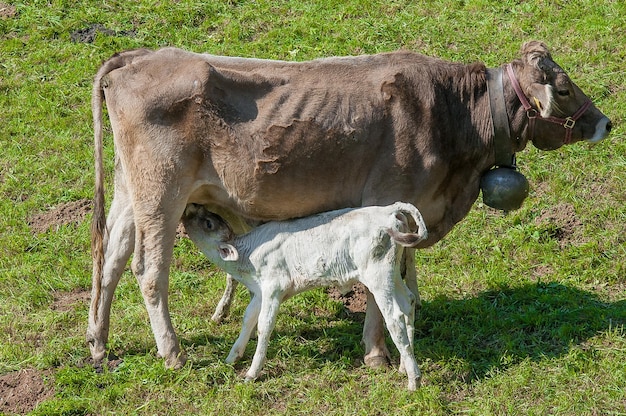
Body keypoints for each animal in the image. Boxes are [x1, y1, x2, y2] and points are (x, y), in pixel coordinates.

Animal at [88, 39, 608, 370]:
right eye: (564, 89)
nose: (605, 123)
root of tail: (143, 56)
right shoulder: (387, 200)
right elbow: (381, 287)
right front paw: (378, 353)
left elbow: (405, 275)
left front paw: (407, 326)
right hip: (162, 193)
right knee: (148, 269)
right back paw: (173, 354)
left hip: (130, 192)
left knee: (110, 258)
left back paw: (98, 344)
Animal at [178, 202, 426, 390]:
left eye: (208, 222)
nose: (192, 205)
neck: (247, 259)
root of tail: (389, 209)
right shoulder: (260, 292)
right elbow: (248, 319)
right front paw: (232, 357)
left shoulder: (274, 287)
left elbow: (264, 326)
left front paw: (252, 372)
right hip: (392, 272)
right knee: (408, 302)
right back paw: (404, 366)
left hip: (378, 274)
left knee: (394, 317)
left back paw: (413, 380)